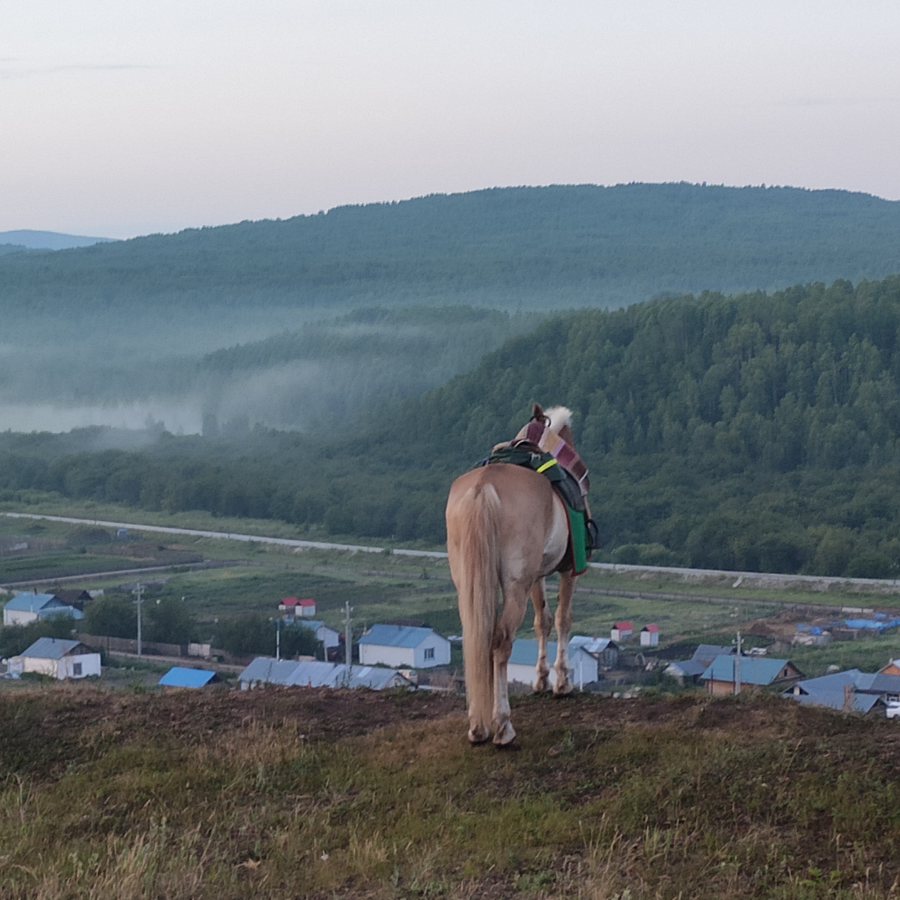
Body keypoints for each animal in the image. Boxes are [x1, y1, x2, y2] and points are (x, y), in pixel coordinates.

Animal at [446, 402, 588, 744]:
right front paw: (561, 683)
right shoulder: (568, 570)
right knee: (500, 642)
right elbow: (562, 619)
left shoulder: (535, 576)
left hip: (471, 583)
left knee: (477, 637)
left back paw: (477, 725)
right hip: (514, 586)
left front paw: (541, 680)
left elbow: (542, 621)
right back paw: (502, 725)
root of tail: (483, 488)